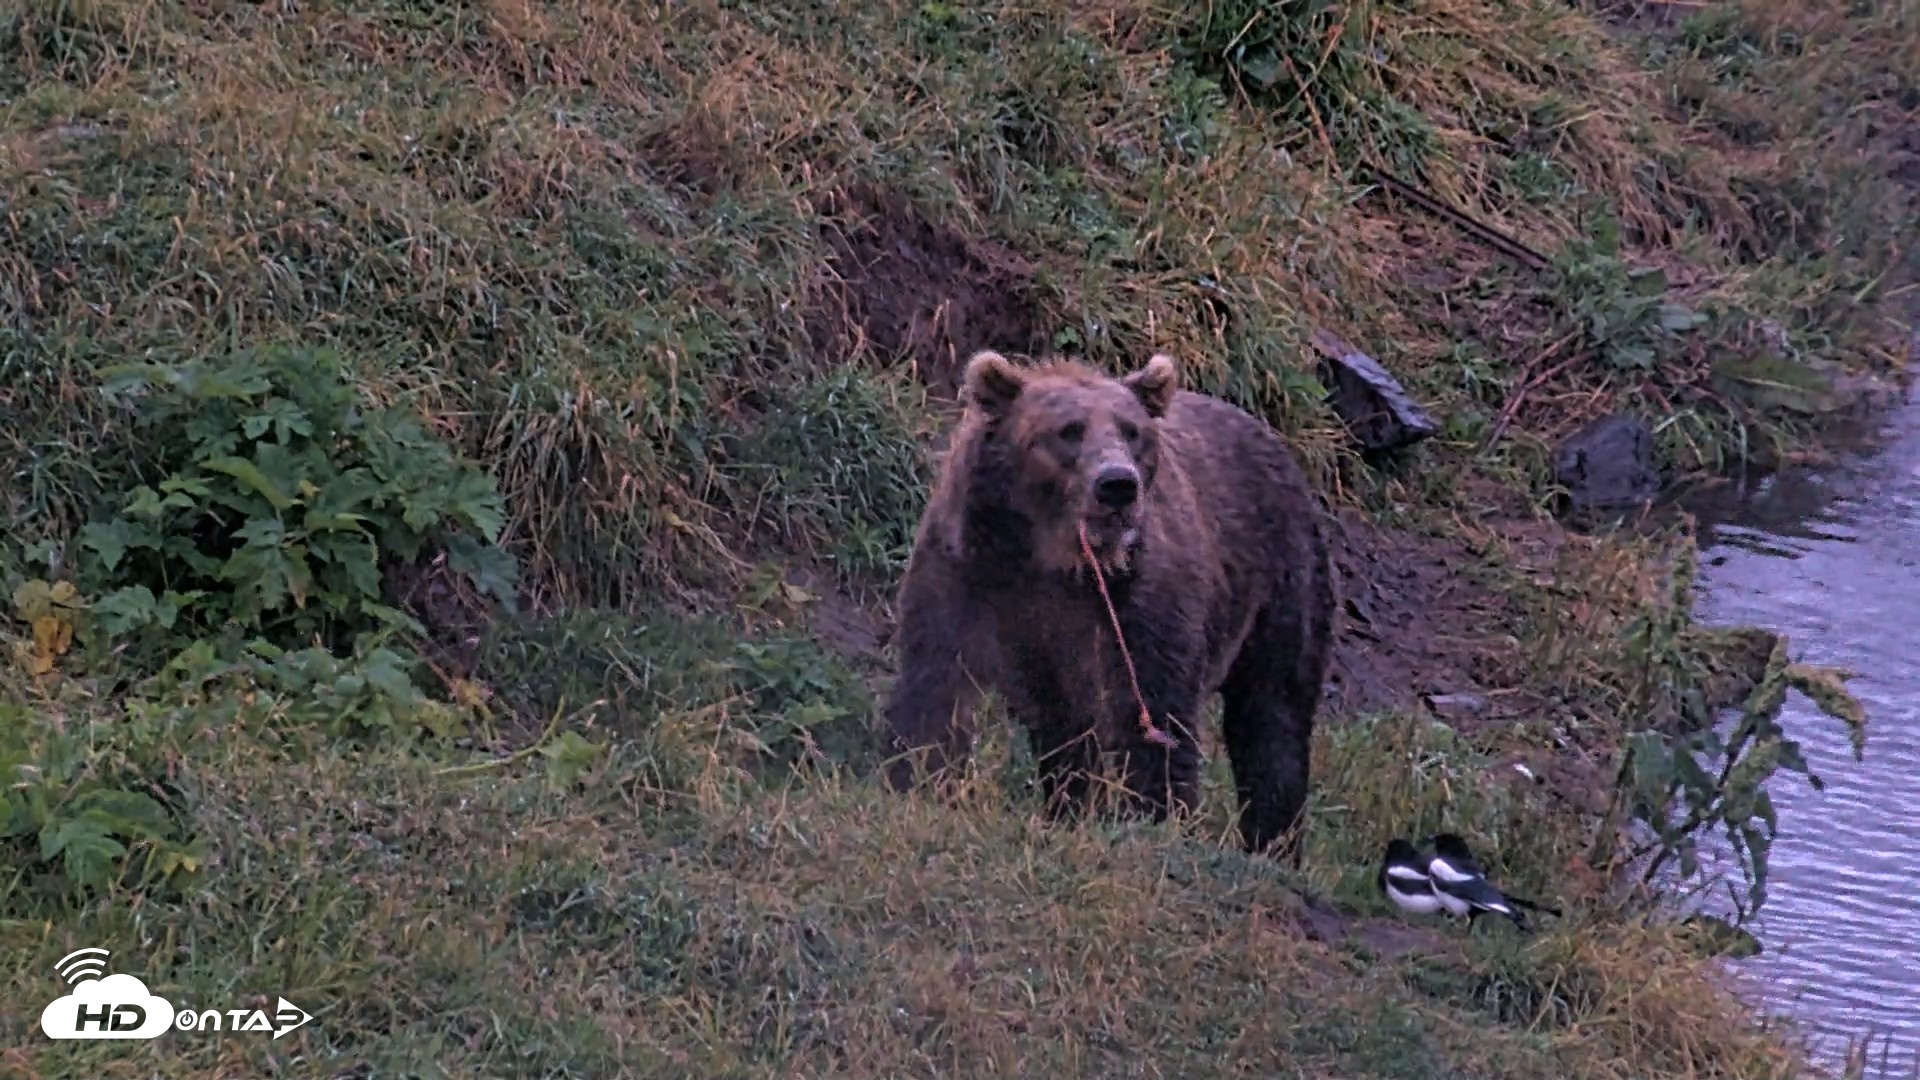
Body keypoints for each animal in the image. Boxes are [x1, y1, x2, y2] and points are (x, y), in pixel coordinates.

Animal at [881, 348, 1337, 862]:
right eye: (1068, 430)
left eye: (1132, 431)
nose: (1117, 484)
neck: (1055, 557)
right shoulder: (969, 574)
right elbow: (938, 686)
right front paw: (918, 781)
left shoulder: (1139, 601)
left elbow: (1153, 709)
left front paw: (1154, 816)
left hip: (1283, 575)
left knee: (1273, 713)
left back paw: (1273, 841)